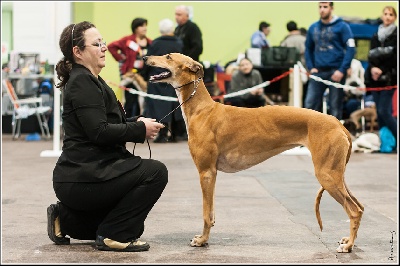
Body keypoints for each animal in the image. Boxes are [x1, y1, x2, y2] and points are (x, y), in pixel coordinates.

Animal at [145, 52, 366, 254]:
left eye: (169, 56)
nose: (146, 57)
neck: (202, 109)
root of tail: (338, 123)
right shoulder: (212, 174)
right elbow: (212, 212)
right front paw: (204, 238)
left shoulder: (206, 172)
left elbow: (206, 213)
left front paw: (202, 240)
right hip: (336, 174)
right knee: (360, 206)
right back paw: (349, 240)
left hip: (326, 175)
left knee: (354, 210)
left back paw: (348, 246)